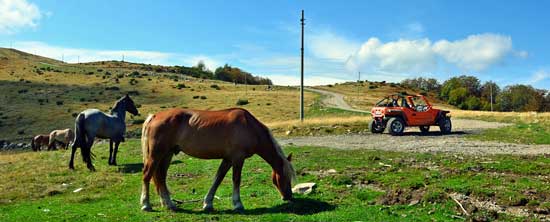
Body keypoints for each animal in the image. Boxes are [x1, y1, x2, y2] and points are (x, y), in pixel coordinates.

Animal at [141, 108, 298, 212]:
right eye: (285, 176)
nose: (289, 197)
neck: (249, 126)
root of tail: (154, 116)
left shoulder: (228, 159)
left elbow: (217, 179)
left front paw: (207, 203)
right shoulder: (238, 158)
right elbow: (236, 180)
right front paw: (238, 204)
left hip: (167, 154)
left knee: (161, 177)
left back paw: (169, 204)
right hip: (156, 155)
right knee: (147, 175)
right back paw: (146, 204)